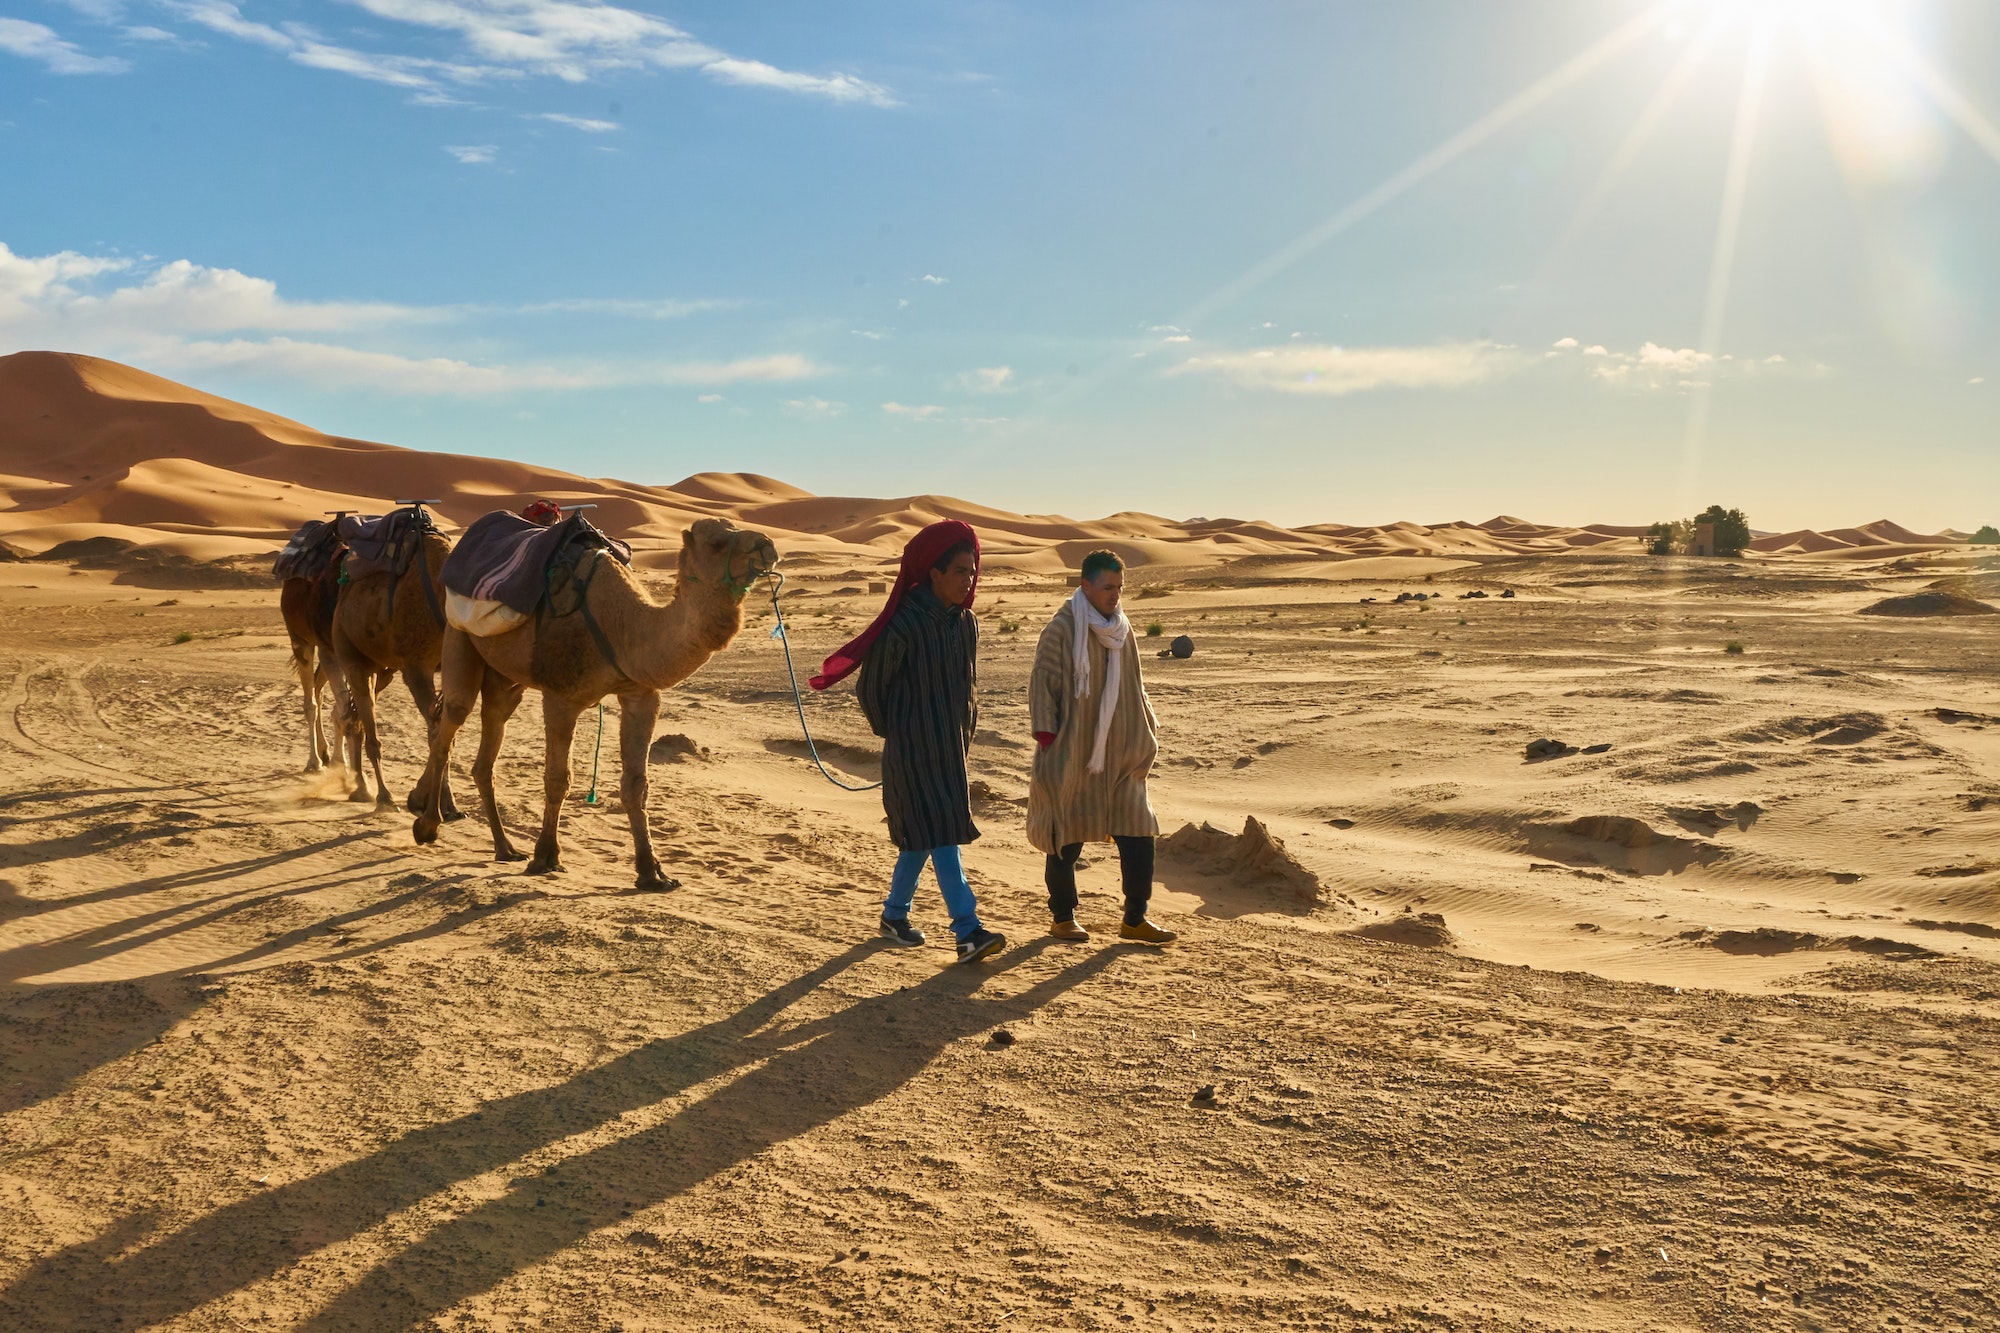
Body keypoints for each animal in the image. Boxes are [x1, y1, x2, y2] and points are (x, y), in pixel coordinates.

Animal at [334, 504, 462, 816]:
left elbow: (446, 733)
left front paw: (438, 801)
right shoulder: (417, 667)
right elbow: (437, 733)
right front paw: (430, 801)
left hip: (384, 668)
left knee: (357, 717)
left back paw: (360, 788)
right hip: (350, 653)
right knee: (367, 727)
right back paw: (382, 796)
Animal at [410, 512, 776, 888]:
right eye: (717, 542)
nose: (767, 546)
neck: (624, 627)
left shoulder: (640, 695)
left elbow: (636, 785)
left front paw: (652, 872)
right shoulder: (561, 696)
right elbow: (558, 779)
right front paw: (546, 856)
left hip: (504, 678)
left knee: (487, 743)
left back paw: (505, 848)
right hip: (458, 635)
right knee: (448, 727)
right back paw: (428, 825)